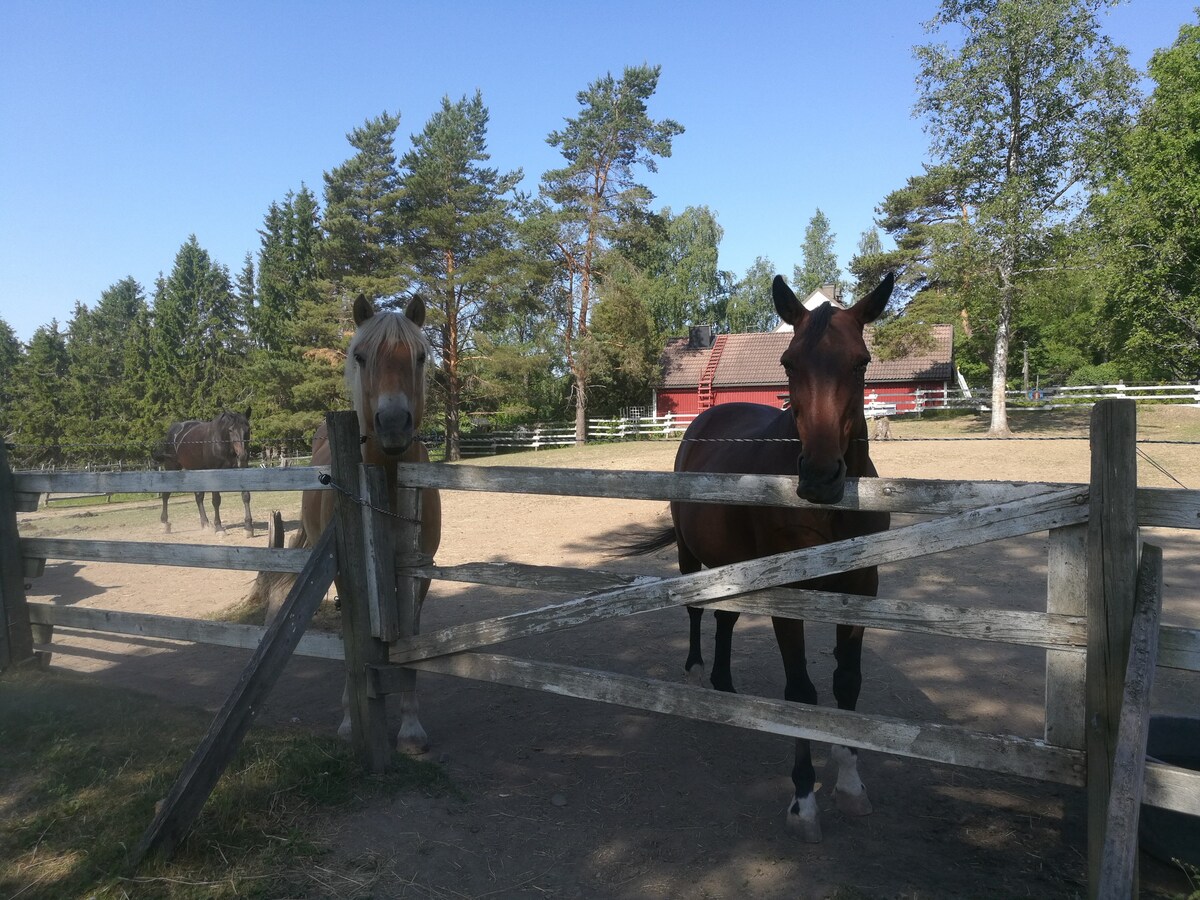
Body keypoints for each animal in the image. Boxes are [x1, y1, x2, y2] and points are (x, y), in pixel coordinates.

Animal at [153, 412, 254, 540]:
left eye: (248, 428)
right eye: (230, 430)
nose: (242, 456)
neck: (222, 443)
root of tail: (175, 429)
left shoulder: (241, 470)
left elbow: (245, 496)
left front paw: (248, 528)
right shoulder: (214, 473)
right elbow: (216, 501)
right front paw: (219, 528)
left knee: (198, 497)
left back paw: (205, 523)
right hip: (172, 467)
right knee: (166, 495)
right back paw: (165, 523)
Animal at [628, 271, 892, 844]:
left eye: (860, 362)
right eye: (789, 363)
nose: (820, 477)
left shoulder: (860, 589)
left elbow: (847, 683)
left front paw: (851, 786)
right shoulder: (788, 596)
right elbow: (800, 691)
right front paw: (803, 800)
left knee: (726, 618)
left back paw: (727, 686)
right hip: (690, 557)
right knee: (698, 612)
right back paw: (697, 674)